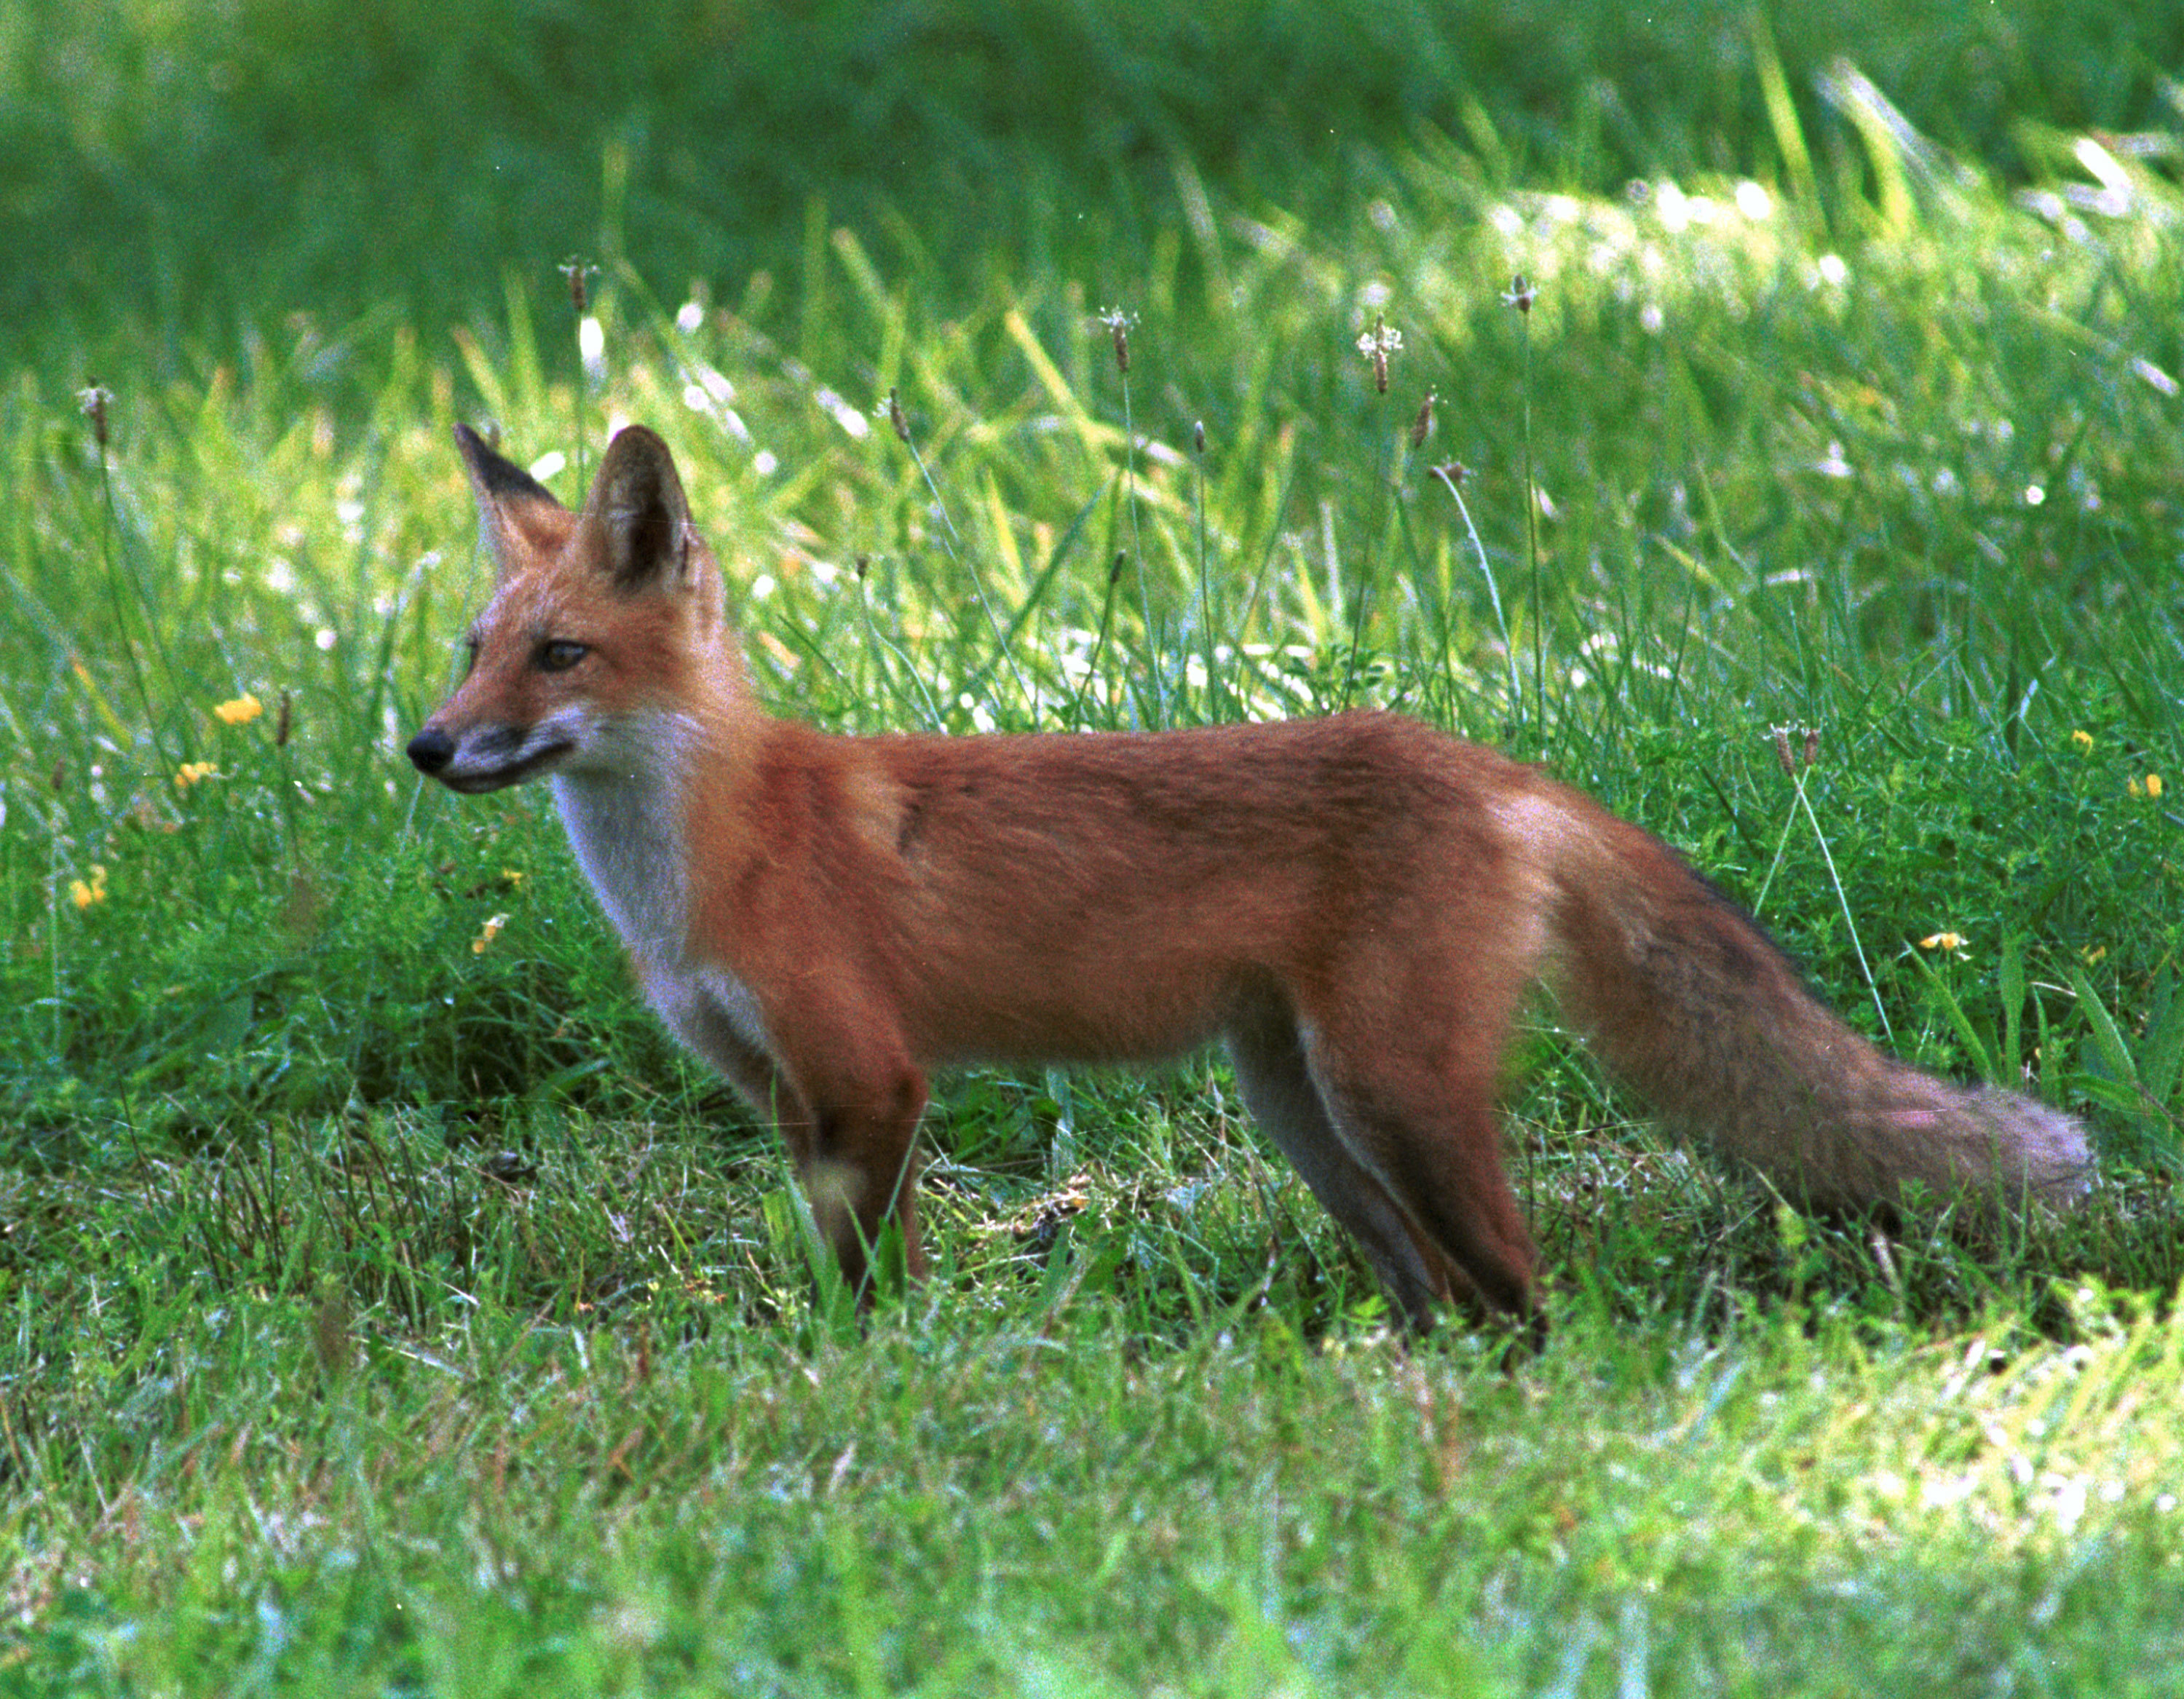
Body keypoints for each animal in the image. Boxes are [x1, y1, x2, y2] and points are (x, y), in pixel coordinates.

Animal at [413, 419, 2097, 1328]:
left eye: (560, 658)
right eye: (474, 650)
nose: (426, 747)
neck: (708, 855)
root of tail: (1490, 765)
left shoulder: (874, 1079)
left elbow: (873, 1292)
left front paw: (867, 1385)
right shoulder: (787, 1097)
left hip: (1391, 1097)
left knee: (1524, 1290)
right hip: (1311, 1116)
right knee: (1445, 1300)